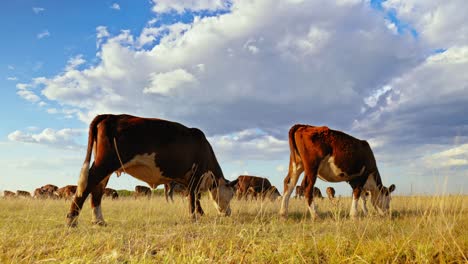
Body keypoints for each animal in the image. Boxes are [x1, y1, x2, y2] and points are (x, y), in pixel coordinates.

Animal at [65, 114, 238, 227]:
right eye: (230, 195)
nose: (229, 213)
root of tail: (110, 116)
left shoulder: (187, 179)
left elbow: (194, 197)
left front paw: (200, 214)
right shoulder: (196, 174)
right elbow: (193, 198)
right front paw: (194, 217)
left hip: (105, 167)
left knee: (96, 191)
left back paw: (99, 220)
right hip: (105, 163)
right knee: (86, 186)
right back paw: (71, 220)